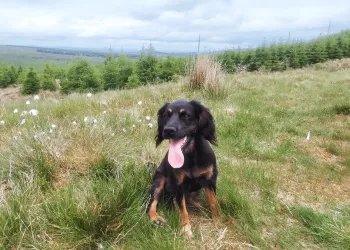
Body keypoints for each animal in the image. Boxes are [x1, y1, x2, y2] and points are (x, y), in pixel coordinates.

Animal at [148, 99, 219, 238]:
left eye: (186, 115)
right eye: (166, 115)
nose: (168, 130)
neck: (190, 155)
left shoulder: (210, 180)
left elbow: (213, 203)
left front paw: (219, 222)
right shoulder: (178, 186)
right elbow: (183, 210)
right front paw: (186, 230)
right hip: (159, 181)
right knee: (152, 202)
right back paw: (155, 218)